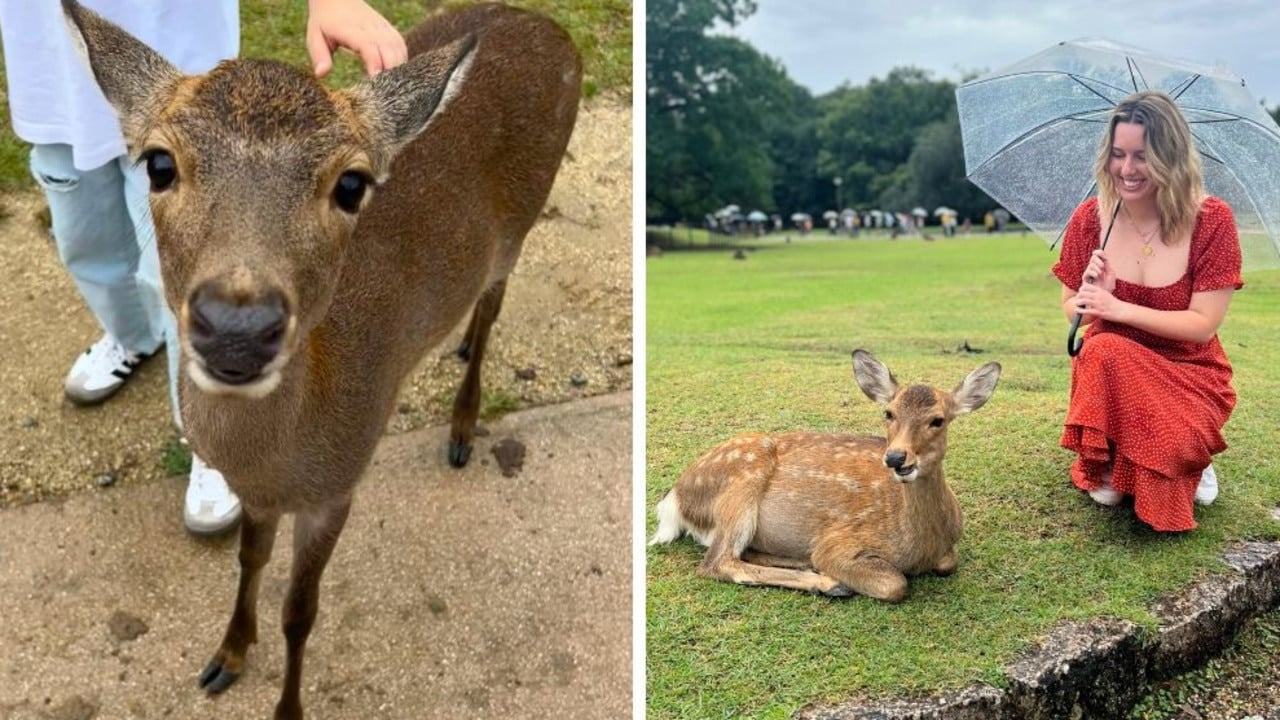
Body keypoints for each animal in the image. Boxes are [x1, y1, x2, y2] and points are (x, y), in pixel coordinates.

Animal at [61, 2, 581, 712]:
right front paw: (225, 656)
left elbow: (300, 611)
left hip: (522, 221)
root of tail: (555, 29)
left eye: (353, 183)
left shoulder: (339, 484)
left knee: (494, 300)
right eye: (158, 165)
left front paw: (286, 705)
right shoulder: (256, 494)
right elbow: (250, 561)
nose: (238, 328)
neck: (279, 455)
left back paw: (462, 427)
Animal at [650, 348, 998, 599]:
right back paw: (831, 583)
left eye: (938, 420)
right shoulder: (840, 542)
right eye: (889, 413)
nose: (896, 458)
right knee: (717, 562)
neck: (920, 544)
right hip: (741, 481)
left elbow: (949, 562)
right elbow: (894, 584)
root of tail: (673, 500)